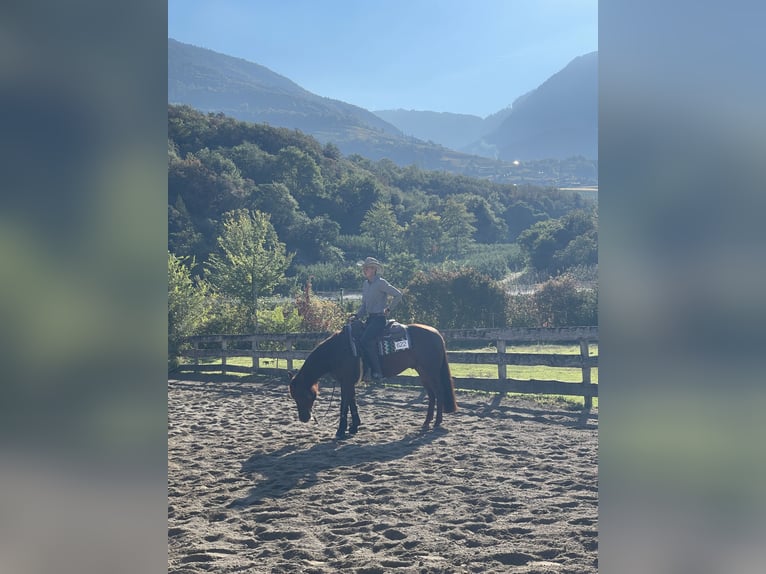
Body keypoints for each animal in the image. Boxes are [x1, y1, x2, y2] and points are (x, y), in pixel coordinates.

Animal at [288, 320, 458, 439]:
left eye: (304, 395)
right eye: (294, 396)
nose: (304, 418)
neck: (337, 351)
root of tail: (436, 333)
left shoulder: (346, 381)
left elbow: (344, 404)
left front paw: (341, 430)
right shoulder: (349, 382)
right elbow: (352, 402)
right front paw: (354, 427)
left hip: (431, 371)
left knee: (439, 392)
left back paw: (437, 422)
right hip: (423, 372)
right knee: (431, 395)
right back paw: (426, 422)